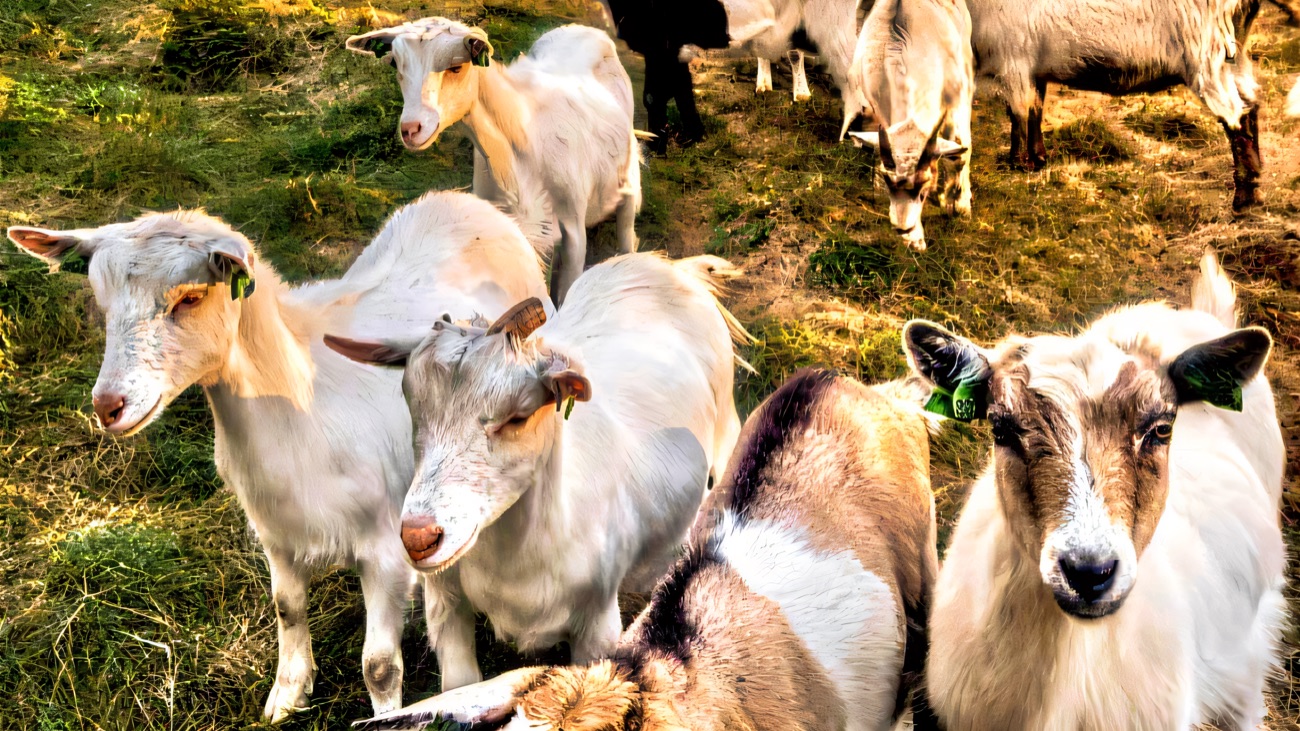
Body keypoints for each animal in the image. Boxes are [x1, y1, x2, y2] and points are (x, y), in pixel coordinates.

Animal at [5, 191, 549, 723]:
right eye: (102, 302)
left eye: (190, 297)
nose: (108, 406)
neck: (302, 406)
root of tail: (468, 202)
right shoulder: (275, 532)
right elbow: (287, 607)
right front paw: (287, 695)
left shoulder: (386, 548)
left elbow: (377, 666)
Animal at [324, 252, 744, 692]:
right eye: (411, 402)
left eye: (518, 415)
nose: (419, 538)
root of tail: (670, 267)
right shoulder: (446, 605)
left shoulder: (597, 624)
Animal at [346, 19, 640, 301]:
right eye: (395, 62)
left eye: (457, 67)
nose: (410, 129)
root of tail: (581, 28)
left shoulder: (573, 232)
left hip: (627, 178)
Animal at [846, 0, 973, 250]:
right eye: (890, 186)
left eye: (924, 190)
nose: (902, 228)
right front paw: (915, 238)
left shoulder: (959, 95)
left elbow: (960, 151)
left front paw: (959, 205)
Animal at [966, 0, 1265, 210]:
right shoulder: (1031, 67)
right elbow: (1034, 111)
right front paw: (1038, 158)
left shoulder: (1012, 59)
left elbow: (1018, 114)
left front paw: (1017, 164)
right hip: (1231, 52)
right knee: (1250, 107)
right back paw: (1254, 187)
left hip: (1207, 52)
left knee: (1235, 116)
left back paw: (1243, 198)